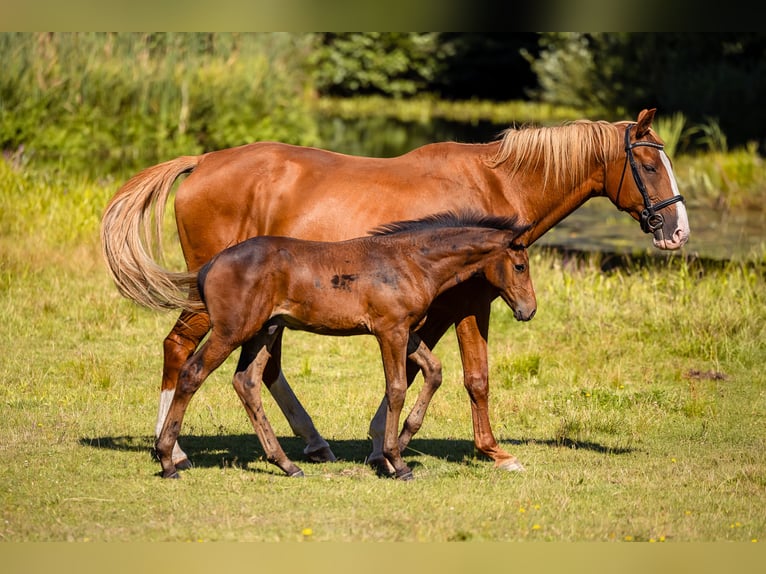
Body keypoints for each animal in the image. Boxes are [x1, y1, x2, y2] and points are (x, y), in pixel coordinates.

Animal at [154, 212, 540, 482]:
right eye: (520, 266)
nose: (529, 310)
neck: (410, 262)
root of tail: (209, 266)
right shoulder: (389, 332)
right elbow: (396, 387)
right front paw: (396, 461)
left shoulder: (407, 331)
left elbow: (433, 371)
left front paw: (399, 443)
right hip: (232, 331)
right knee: (192, 373)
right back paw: (168, 459)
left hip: (266, 330)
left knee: (246, 382)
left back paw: (287, 464)